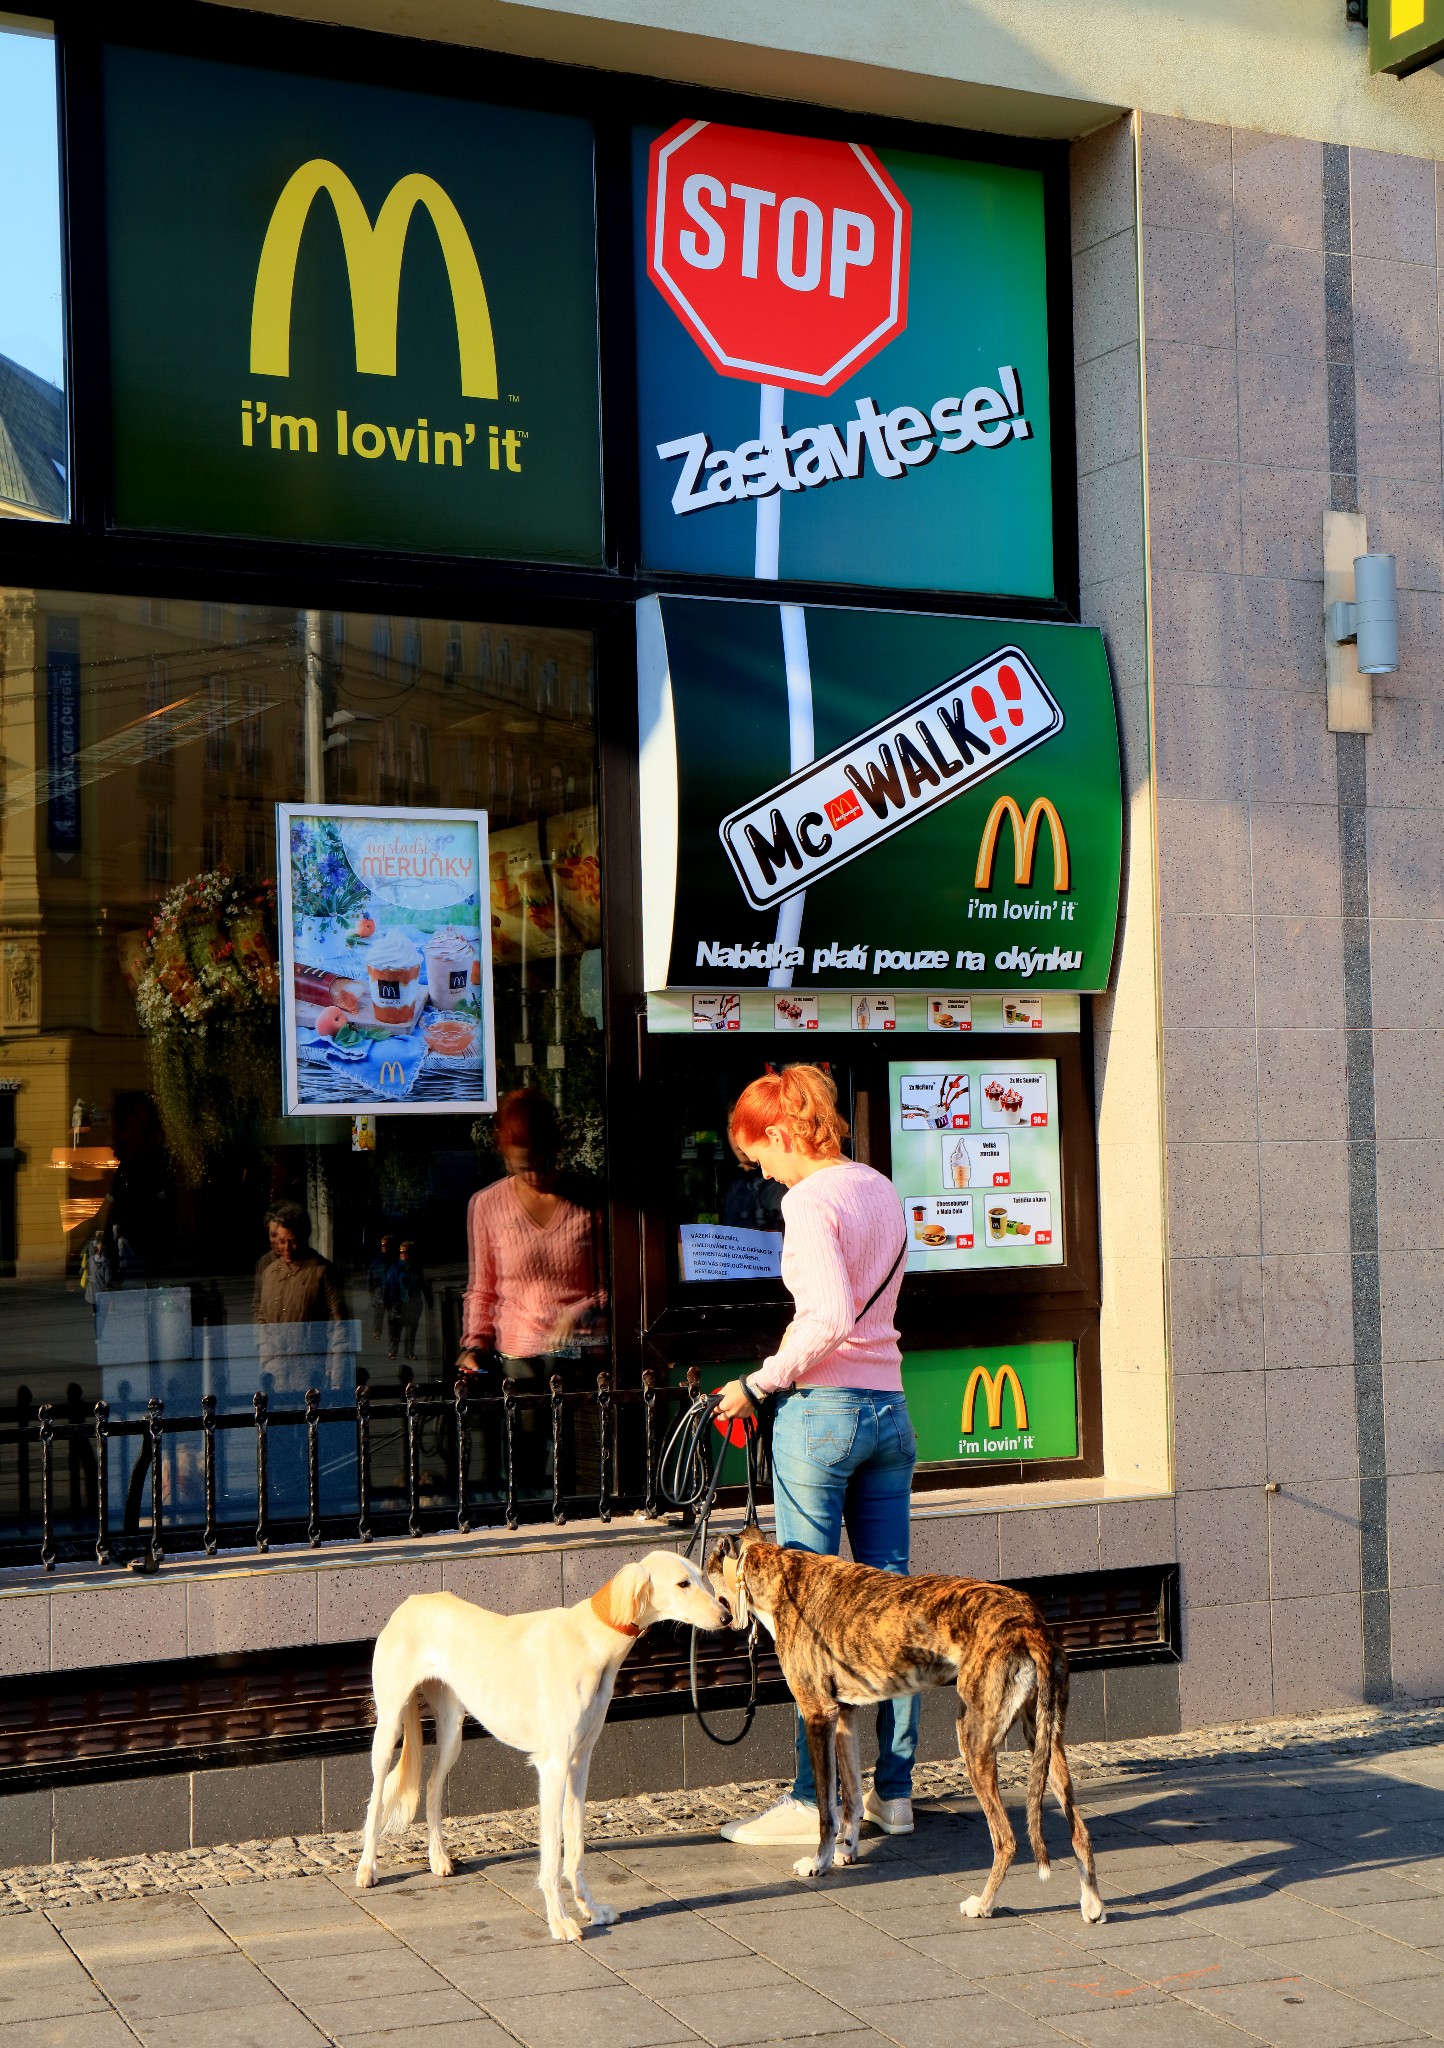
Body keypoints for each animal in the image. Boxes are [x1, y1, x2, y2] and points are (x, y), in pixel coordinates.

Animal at [354, 1548, 725, 1933]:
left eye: (702, 1576)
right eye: (682, 1584)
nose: (726, 1616)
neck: (591, 1639)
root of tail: (411, 1601)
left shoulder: (579, 1763)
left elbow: (575, 1848)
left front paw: (591, 1908)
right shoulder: (553, 1767)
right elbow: (551, 1855)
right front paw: (559, 1921)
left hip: (452, 1728)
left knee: (431, 1785)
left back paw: (438, 1856)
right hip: (389, 1726)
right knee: (376, 1798)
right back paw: (367, 1868)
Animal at [708, 1540, 1106, 1916]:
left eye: (707, 1567)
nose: (716, 1616)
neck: (784, 1577)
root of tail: (1028, 1623)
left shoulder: (818, 1714)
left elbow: (826, 1810)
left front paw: (819, 1862)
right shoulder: (845, 1717)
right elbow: (851, 1798)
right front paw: (848, 1850)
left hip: (974, 1740)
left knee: (1006, 1839)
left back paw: (983, 1905)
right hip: (1044, 1740)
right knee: (1080, 1830)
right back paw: (1092, 1903)